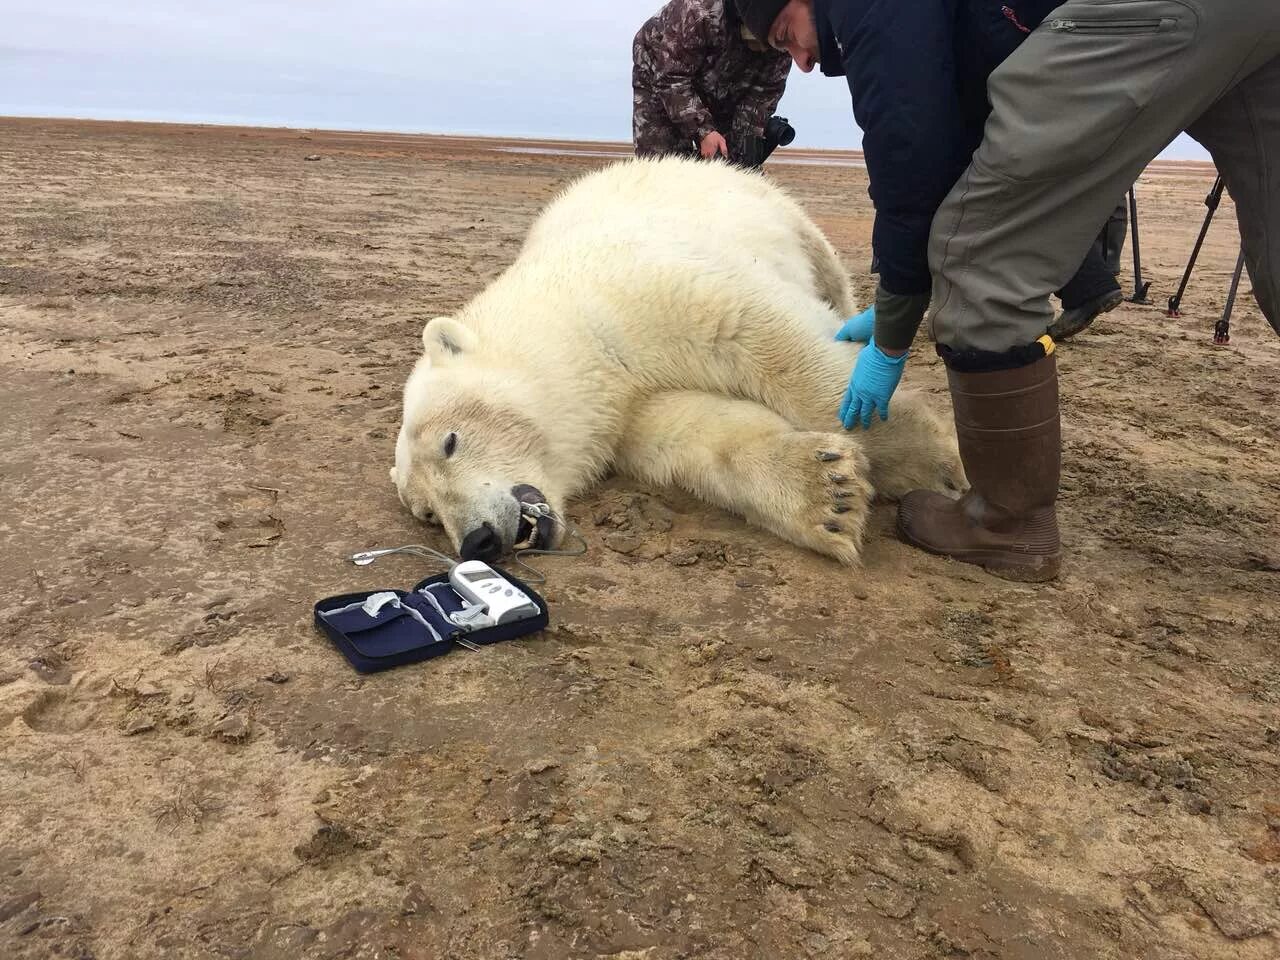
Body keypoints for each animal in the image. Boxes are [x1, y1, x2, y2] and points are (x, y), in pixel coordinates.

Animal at [389, 154, 962, 568]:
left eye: (450, 441)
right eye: (426, 512)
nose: (478, 541)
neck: (569, 314)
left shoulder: (644, 289)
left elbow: (761, 336)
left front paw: (930, 461)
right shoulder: (620, 409)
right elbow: (688, 432)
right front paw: (828, 496)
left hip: (783, 216)